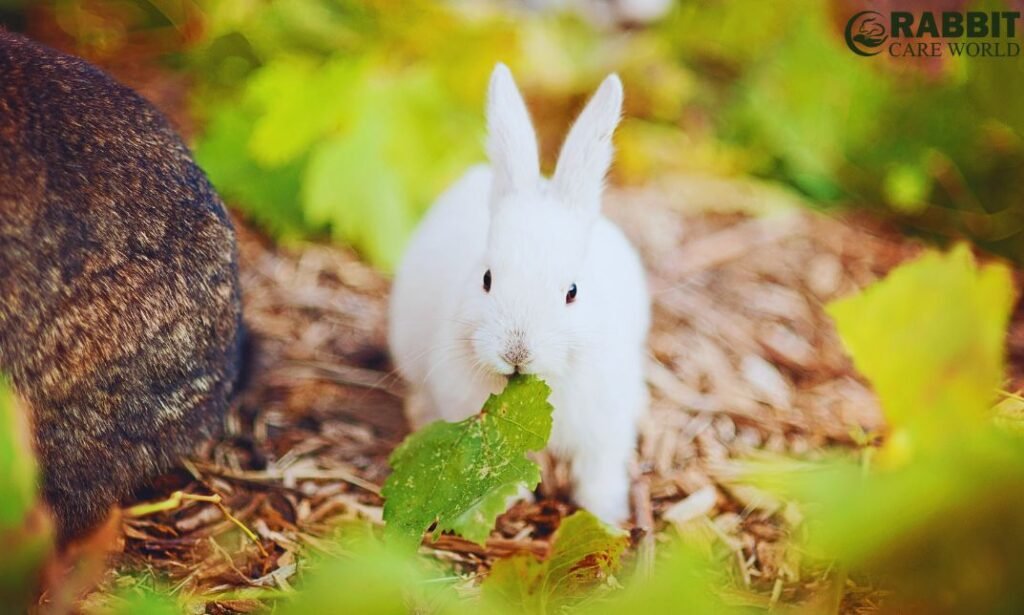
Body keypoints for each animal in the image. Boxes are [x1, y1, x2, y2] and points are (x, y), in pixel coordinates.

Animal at [387, 63, 651, 521]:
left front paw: (604, 514)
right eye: (487, 278)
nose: (516, 352)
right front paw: (507, 500)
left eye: (572, 291)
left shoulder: (605, 429)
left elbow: (598, 472)